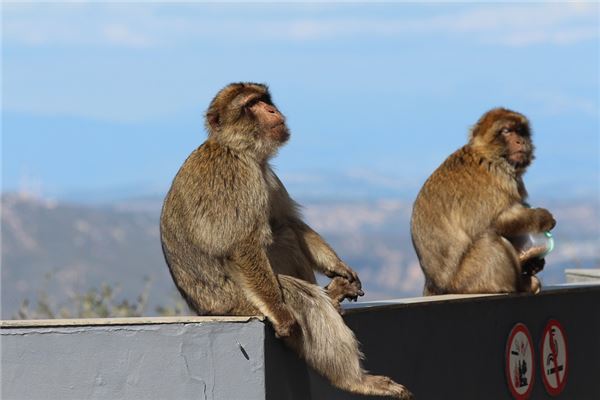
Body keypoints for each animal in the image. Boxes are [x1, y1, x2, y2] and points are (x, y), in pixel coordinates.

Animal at [161, 83, 412, 398]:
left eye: (264, 99)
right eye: (251, 104)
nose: (271, 110)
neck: (240, 150)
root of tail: (202, 309)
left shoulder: (265, 173)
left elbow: (288, 222)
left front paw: (338, 267)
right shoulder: (236, 175)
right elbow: (240, 246)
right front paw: (283, 315)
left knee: (286, 235)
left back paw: (333, 296)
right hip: (238, 301)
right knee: (302, 299)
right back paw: (355, 380)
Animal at [410, 108, 556, 296]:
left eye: (520, 131)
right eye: (507, 131)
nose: (521, 140)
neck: (488, 155)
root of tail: (435, 284)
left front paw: (532, 262)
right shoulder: (496, 177)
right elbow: (495, 221)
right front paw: (543, 218)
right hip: (468, 279)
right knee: (489, 240)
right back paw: (521, 285)